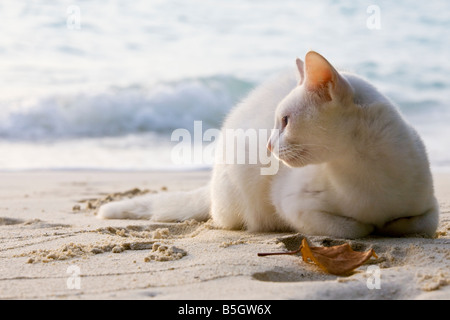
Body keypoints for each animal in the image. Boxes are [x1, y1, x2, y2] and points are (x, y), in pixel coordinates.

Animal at [98, 51, 440, 239]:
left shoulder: (431, 208)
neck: (367, 173)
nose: (268, 147)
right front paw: (371, 226)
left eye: (286, 121)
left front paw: (388, 224)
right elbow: (354, 228)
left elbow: (414, 224)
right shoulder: (293, 204)